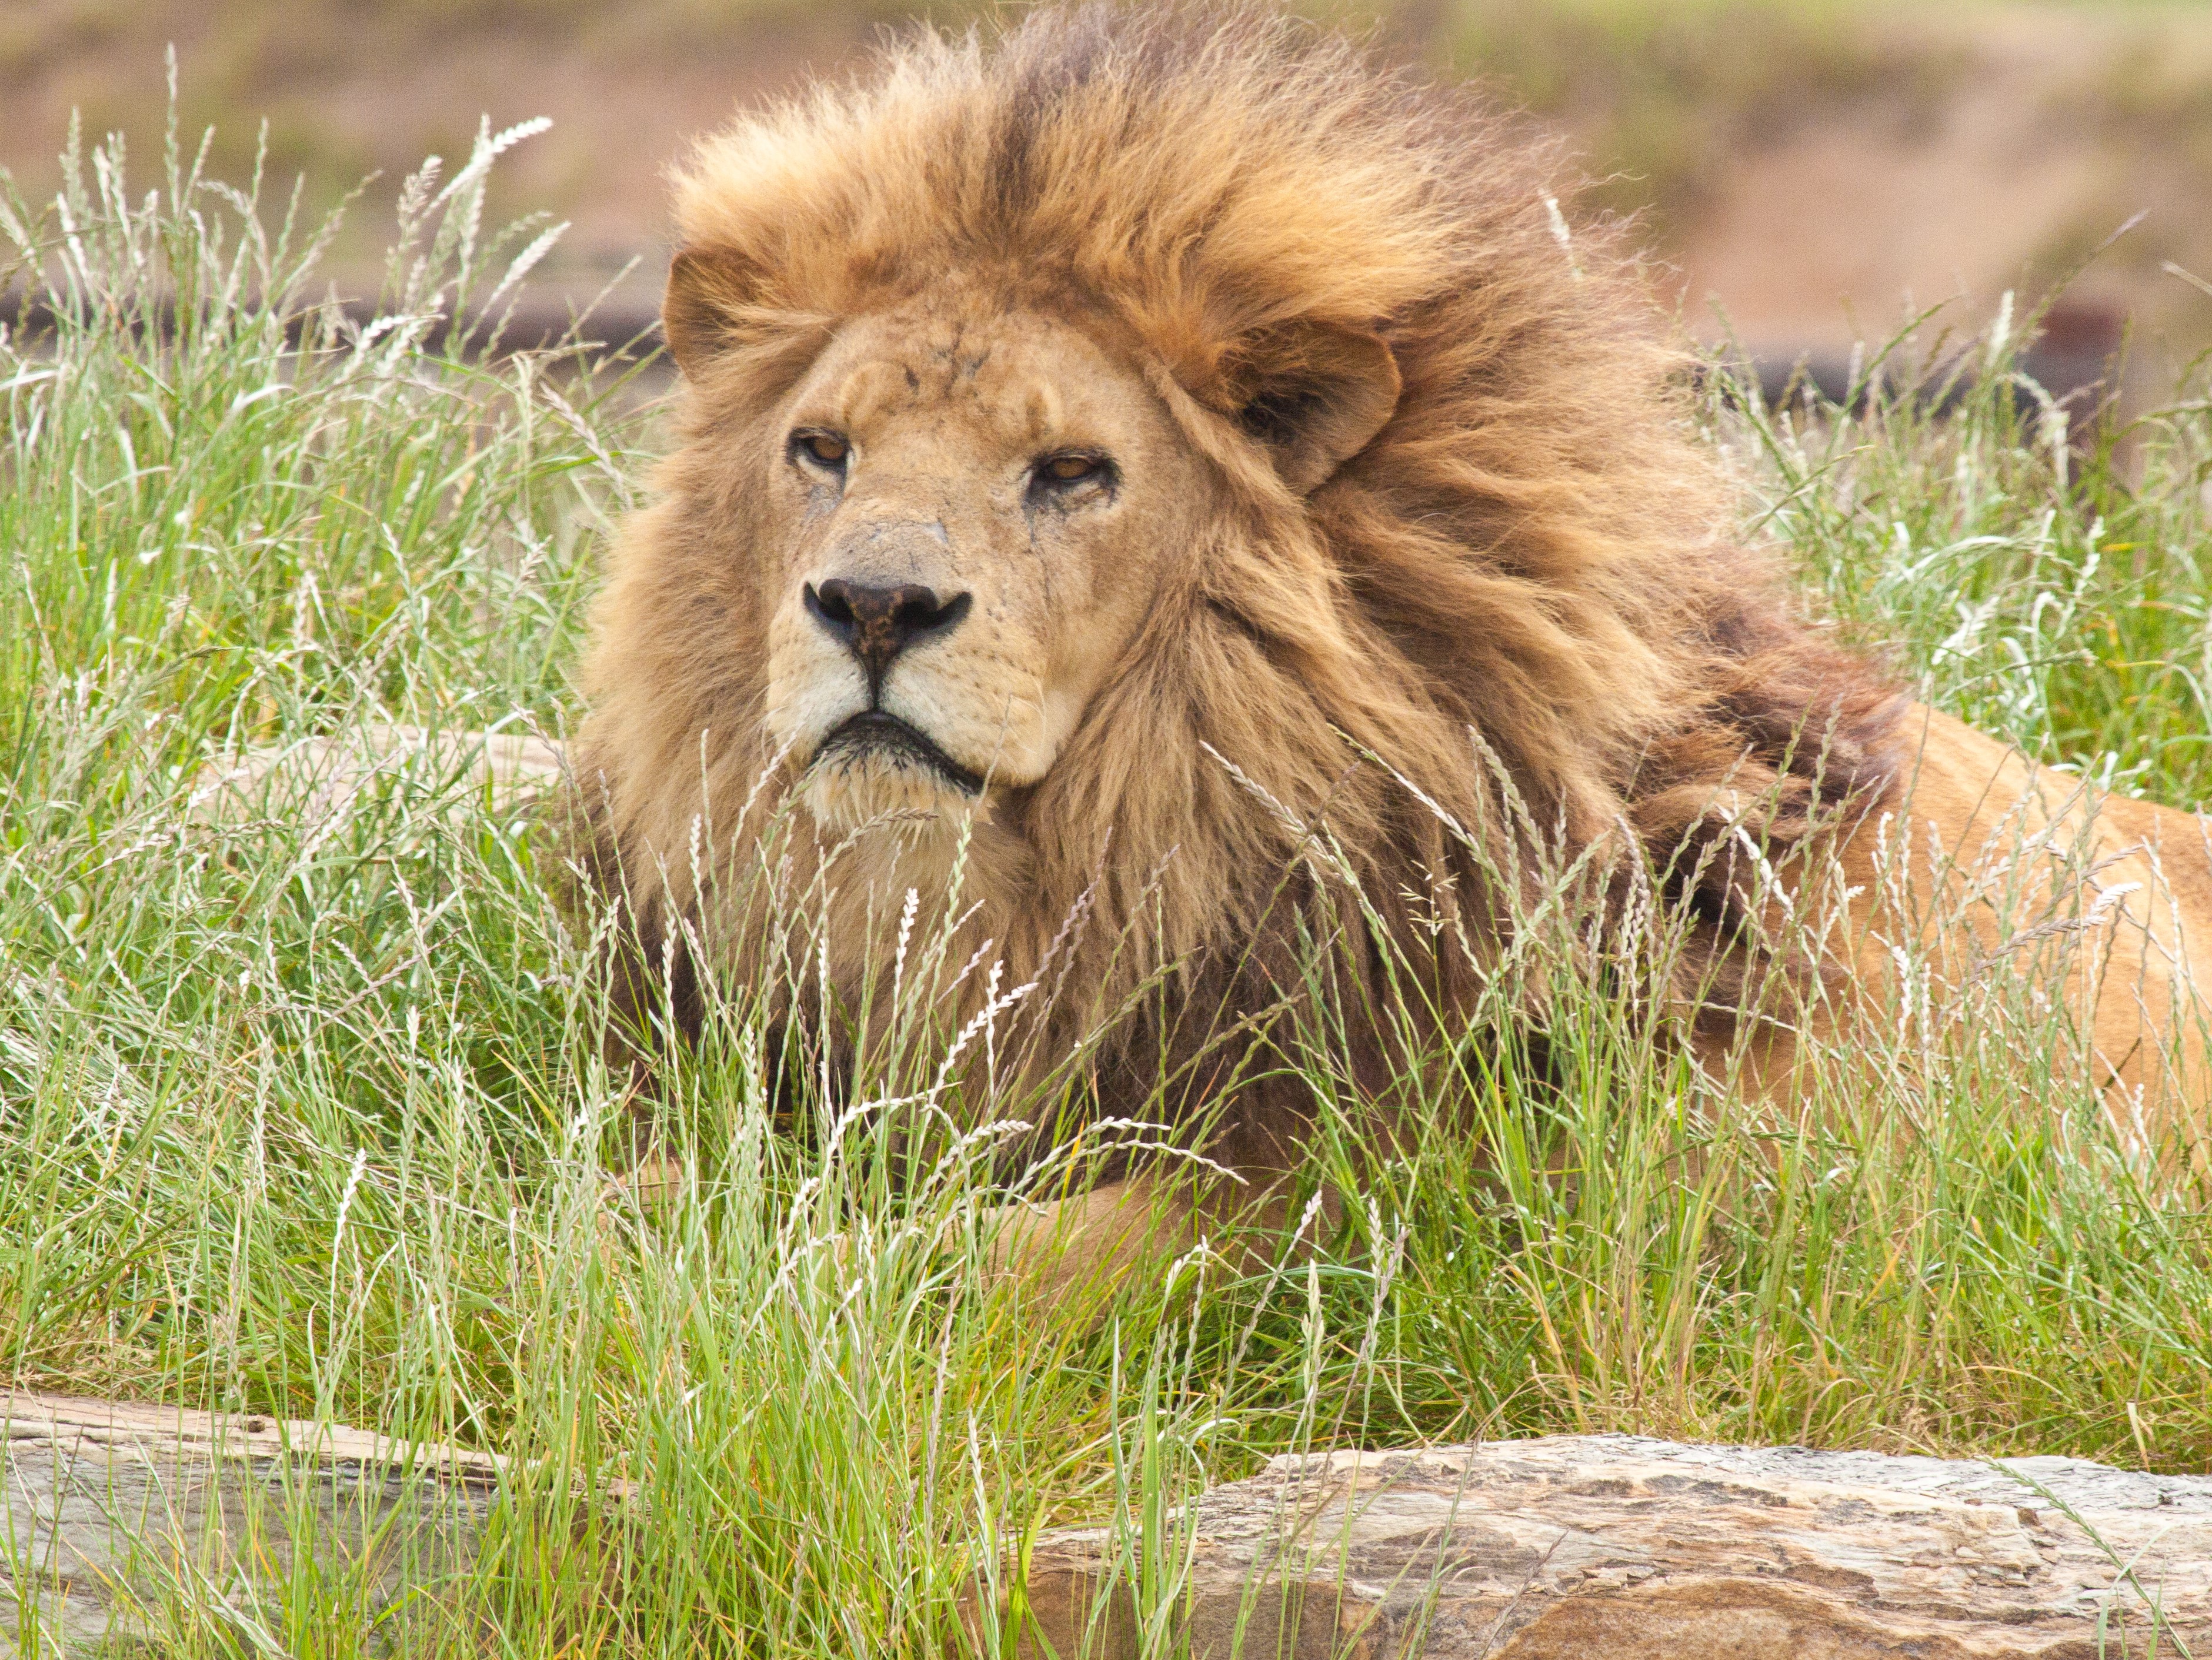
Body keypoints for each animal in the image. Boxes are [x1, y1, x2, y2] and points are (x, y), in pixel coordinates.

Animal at [561, 5, 2212, 1282]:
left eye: (1073, 471)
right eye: (822, 449)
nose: (871, 607)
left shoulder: (1394, 1199)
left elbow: (998, 1256)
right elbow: (651, 1183)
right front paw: (610, 1223)